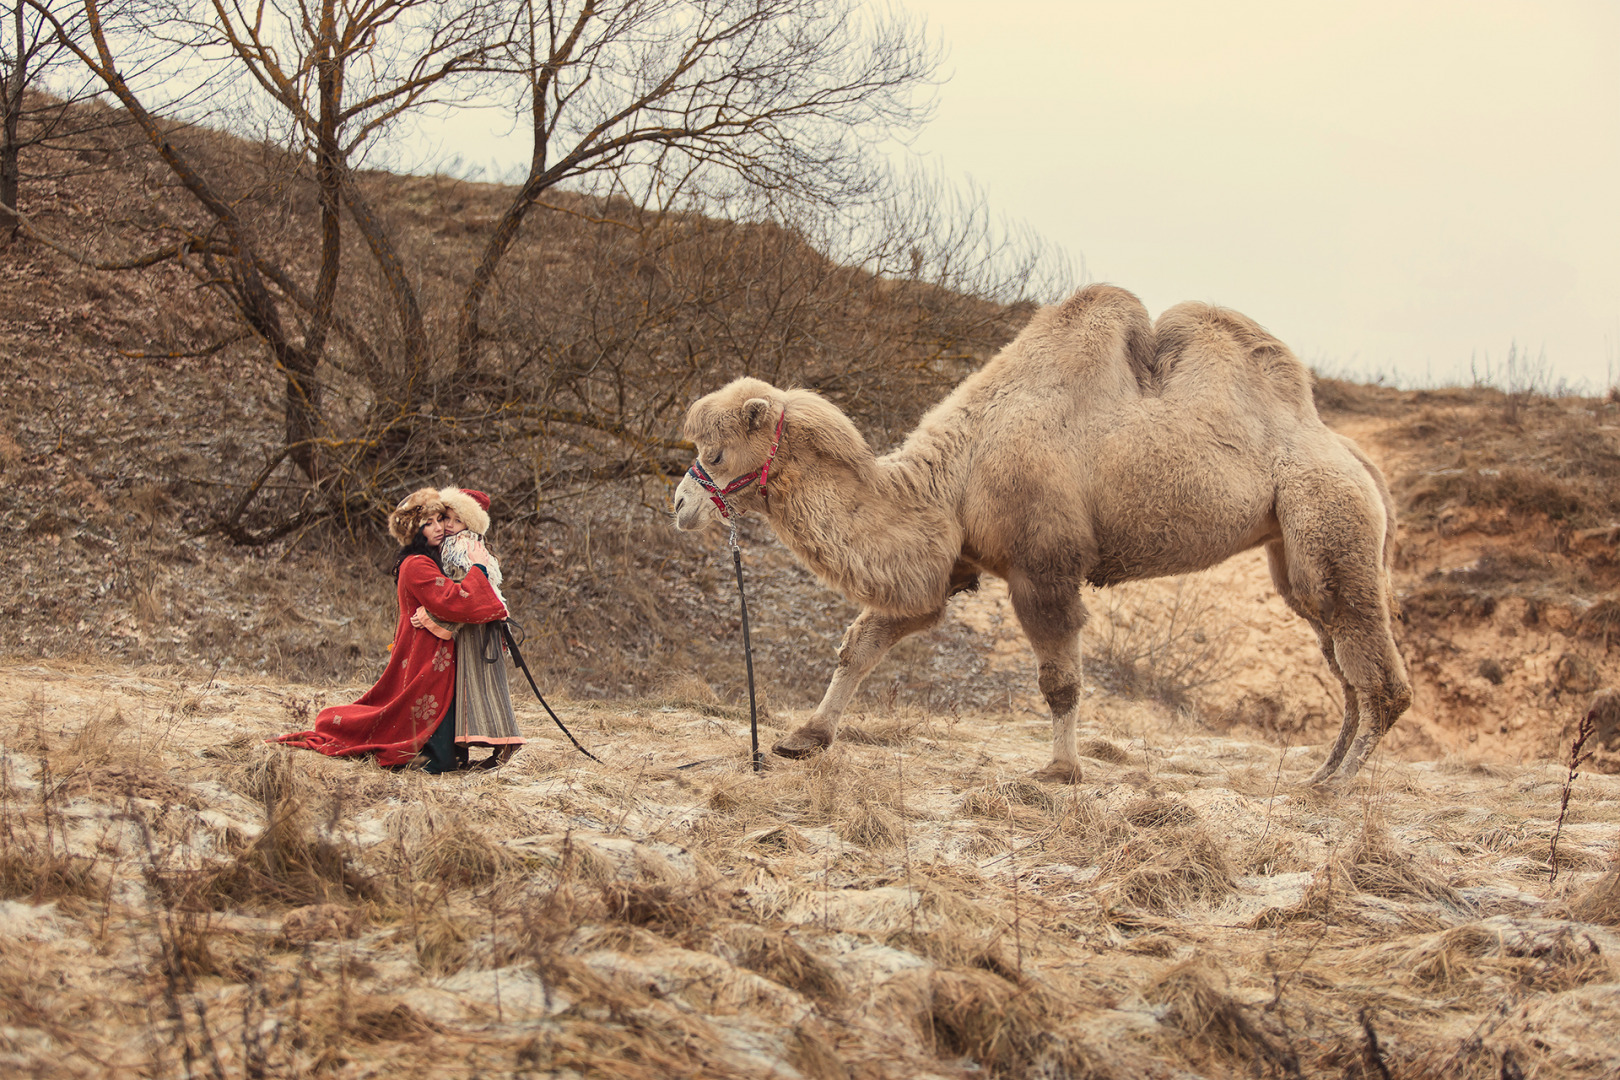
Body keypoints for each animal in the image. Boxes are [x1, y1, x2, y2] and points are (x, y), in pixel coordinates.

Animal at [670, 283, 1406, 790]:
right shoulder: (950, 565)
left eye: (714, 453)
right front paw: (804, 738)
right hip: (1294, 547)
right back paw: (1321, 773)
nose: (678, 504)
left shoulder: (1042, 566)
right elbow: (866, 642)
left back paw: (1339, 787)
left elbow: (1061, 681)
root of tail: (1356, 459)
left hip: (1327, 513)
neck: (955, 477)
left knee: (1371, 662)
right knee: (1340, 656)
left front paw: (1059, 772)